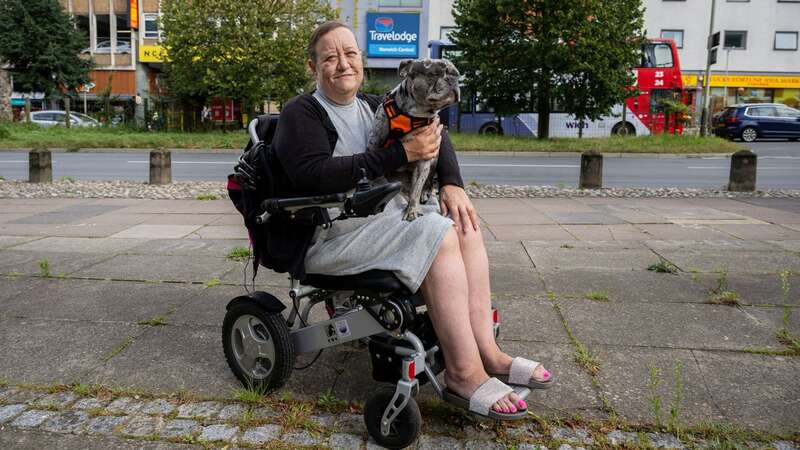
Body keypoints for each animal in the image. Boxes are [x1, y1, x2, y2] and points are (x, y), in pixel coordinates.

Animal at [368, 57, 460, 221]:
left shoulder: (424, 159)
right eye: (434, 74)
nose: (453, 81)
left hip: (434, 158)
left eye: (458, 76)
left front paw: (412, 209)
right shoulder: (374, 145)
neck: (416, 114)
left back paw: (425, 191)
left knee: (428, 181)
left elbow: (416, 187)